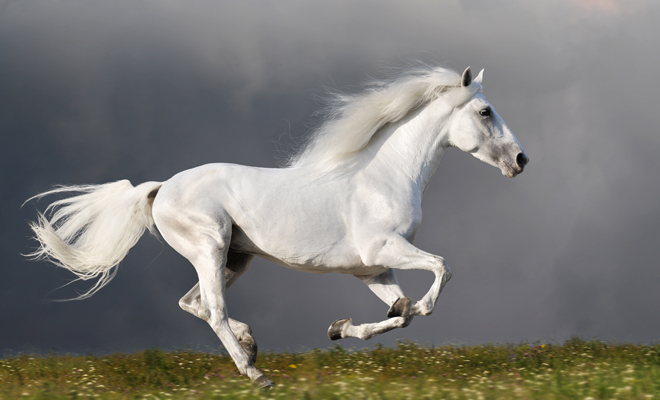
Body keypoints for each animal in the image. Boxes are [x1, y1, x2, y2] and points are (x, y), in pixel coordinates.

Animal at [25, 66, 528, 388]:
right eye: (485, 112)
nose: (522, 160)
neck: (383, 176)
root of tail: (162, 187)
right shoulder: (384, 249)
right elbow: (440, 271)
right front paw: (415, 306)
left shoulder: (371, 269)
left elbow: (399, 313)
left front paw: (340, 329)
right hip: (210, 249)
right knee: (213, 309)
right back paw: (255, 373)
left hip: (235, 259)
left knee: (194, 303)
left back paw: (250, 345)